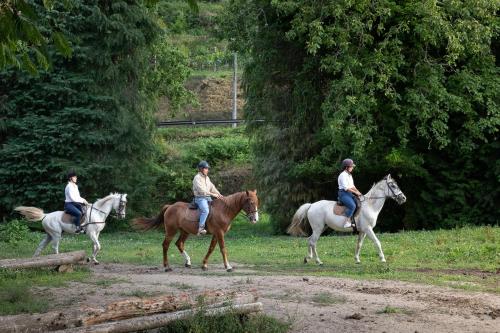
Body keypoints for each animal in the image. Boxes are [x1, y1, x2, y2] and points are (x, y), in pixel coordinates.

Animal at [131, 191, 260, 272]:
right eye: (251, 202)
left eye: (257, 202)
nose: (255, 219)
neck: (224, 210)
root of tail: (170, 206)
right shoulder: (219, 233)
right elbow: (223, 249)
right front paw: (228, 266)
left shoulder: (216, 234)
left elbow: (211, 249)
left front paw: (204, 265)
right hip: (171, 231)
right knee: (165, 245)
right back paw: (167, 267)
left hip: (185, 231)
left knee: (179, 244)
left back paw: (187, 262)